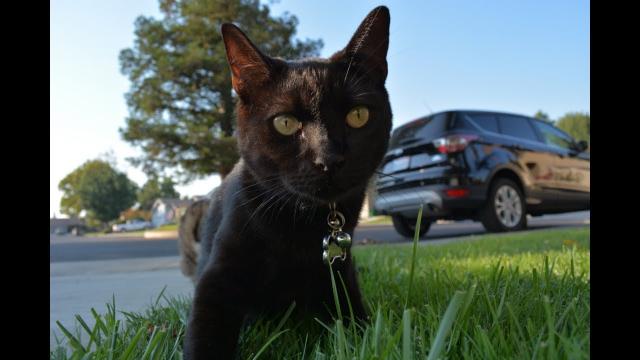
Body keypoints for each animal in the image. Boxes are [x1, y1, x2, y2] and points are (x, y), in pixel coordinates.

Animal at [182, 6, 392, 360]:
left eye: (358, 115)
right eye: (285, 123)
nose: (329, 159)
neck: (301, 222)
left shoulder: (339, 272)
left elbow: (360, 325)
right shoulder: (216, 279)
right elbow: (204, 338)